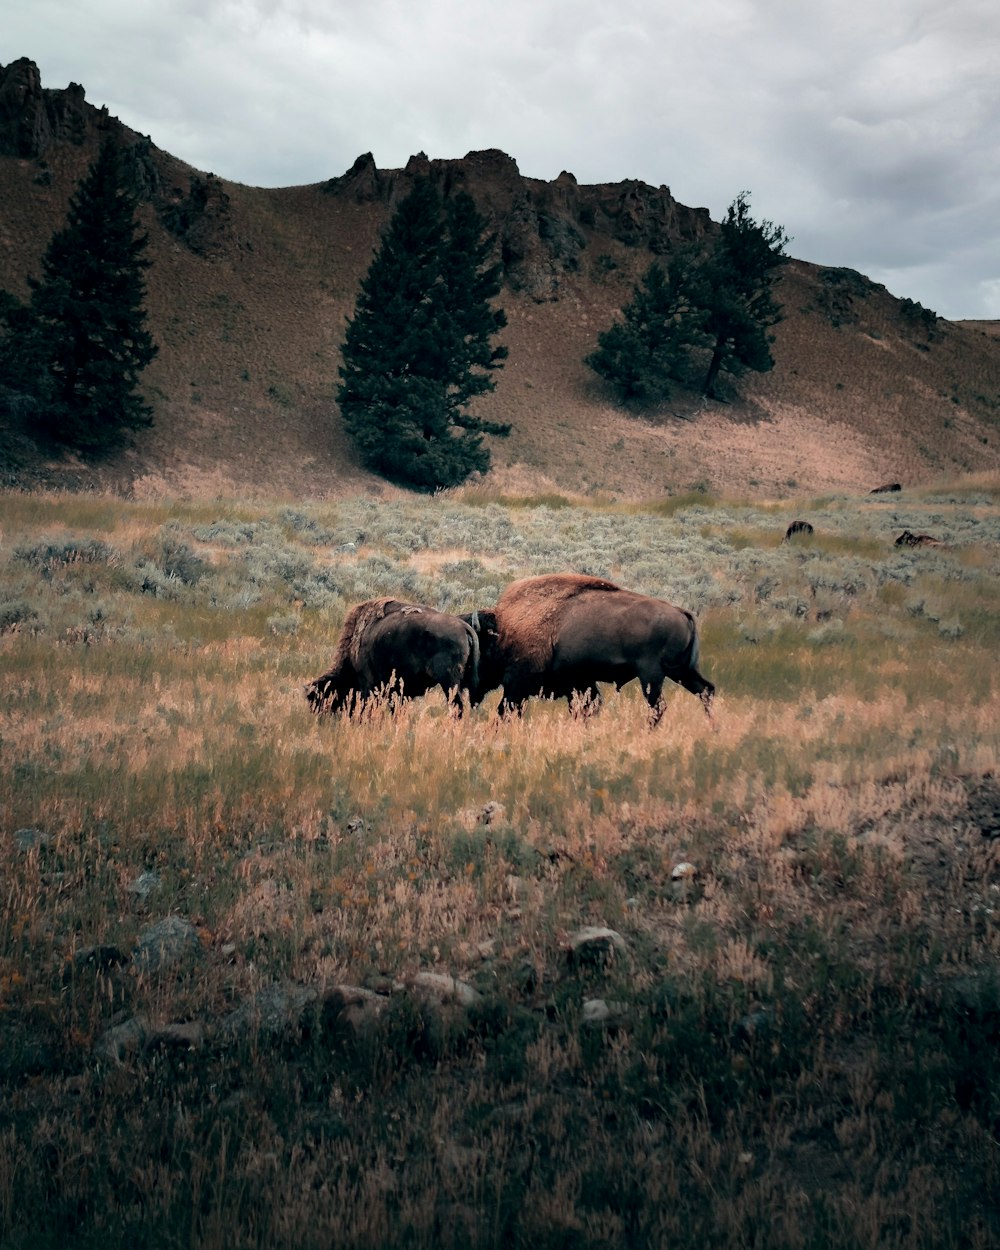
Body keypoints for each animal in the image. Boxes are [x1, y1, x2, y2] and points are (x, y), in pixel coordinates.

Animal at [302, 597, 477, 720]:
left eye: (319, 698)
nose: (321, 718)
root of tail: (464, 627)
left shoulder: (369, 685)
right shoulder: (399, 692)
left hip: (449, 683)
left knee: (456, 707)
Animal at [465, 572, 715, 730]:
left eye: (475, 652)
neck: (504, 629)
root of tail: (680, 611)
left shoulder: (517, 685)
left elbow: (503, 712)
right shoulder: (578, 683)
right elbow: (585, 709)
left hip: (652, 675)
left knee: (658, 706)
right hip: (681, 671)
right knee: (706, 690)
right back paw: (714, 729)